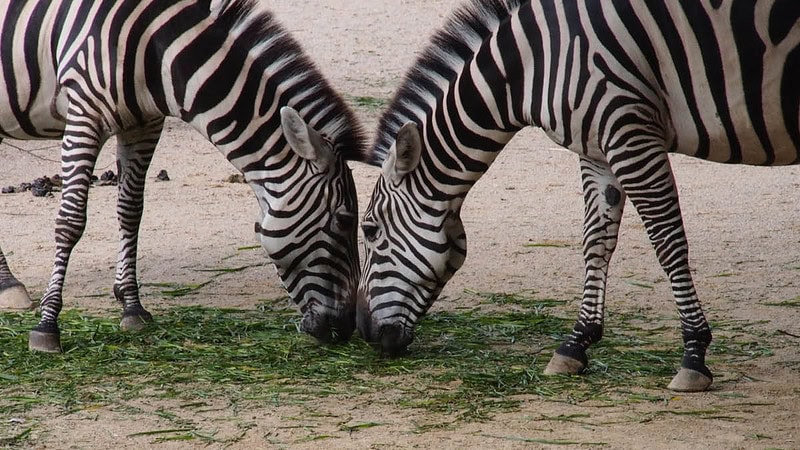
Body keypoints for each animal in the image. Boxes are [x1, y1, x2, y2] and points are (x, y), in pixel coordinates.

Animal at [0, 0, 366, 352]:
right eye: (344, 221)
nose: (346, 327)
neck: (158, 51)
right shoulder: (84, 115)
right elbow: (71, 221)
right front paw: (47, 325)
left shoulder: (144, 124)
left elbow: (131, 212)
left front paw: (132, 306)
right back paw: (10, 287)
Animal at [356, 0, 800, 392]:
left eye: (370, 230)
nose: (362, 333)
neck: (528, 67)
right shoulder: (597, 147)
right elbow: (596, 241)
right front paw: (576, 344)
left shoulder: (630, 132)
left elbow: (667, 242)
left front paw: (694, 355)